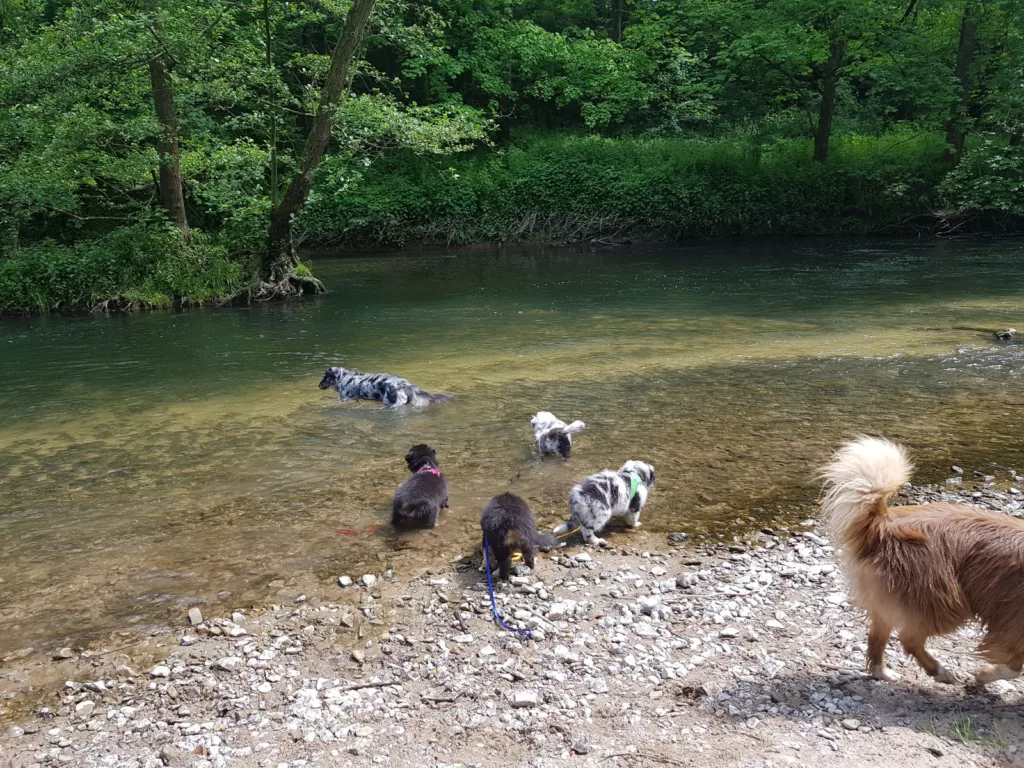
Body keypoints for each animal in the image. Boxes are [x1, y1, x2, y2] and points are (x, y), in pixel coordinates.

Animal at [315, 366, 452, 409]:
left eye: (325, 377)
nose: (318, 385)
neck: (343, 378)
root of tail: (402, 384)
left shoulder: (343, 398)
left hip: (391, 402)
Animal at [819, 436, 1024, 688]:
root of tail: (883, 525)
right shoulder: (1014, 622)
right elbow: (1014, 666)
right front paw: (984, 675)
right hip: (944, 601)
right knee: (908, 639)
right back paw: (941, 672)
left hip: (896, 598)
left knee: (878, 637)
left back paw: (884, 673)